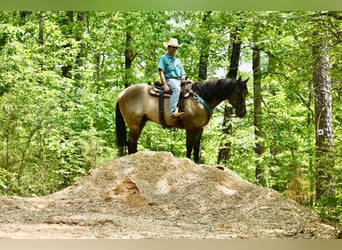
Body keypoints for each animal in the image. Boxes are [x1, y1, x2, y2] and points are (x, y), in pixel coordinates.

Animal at [115, 77, 248, 164]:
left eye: (246, 93)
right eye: (238, 92)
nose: (243, 113)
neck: (200, 97)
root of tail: (122, 94)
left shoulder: (200, 128)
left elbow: (196, 146)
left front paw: (197, 162)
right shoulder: (190, 127)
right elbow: (189, 145)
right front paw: (188, 160)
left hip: (141, 122)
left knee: (133, 142)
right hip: (134, 123)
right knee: (131, 142)